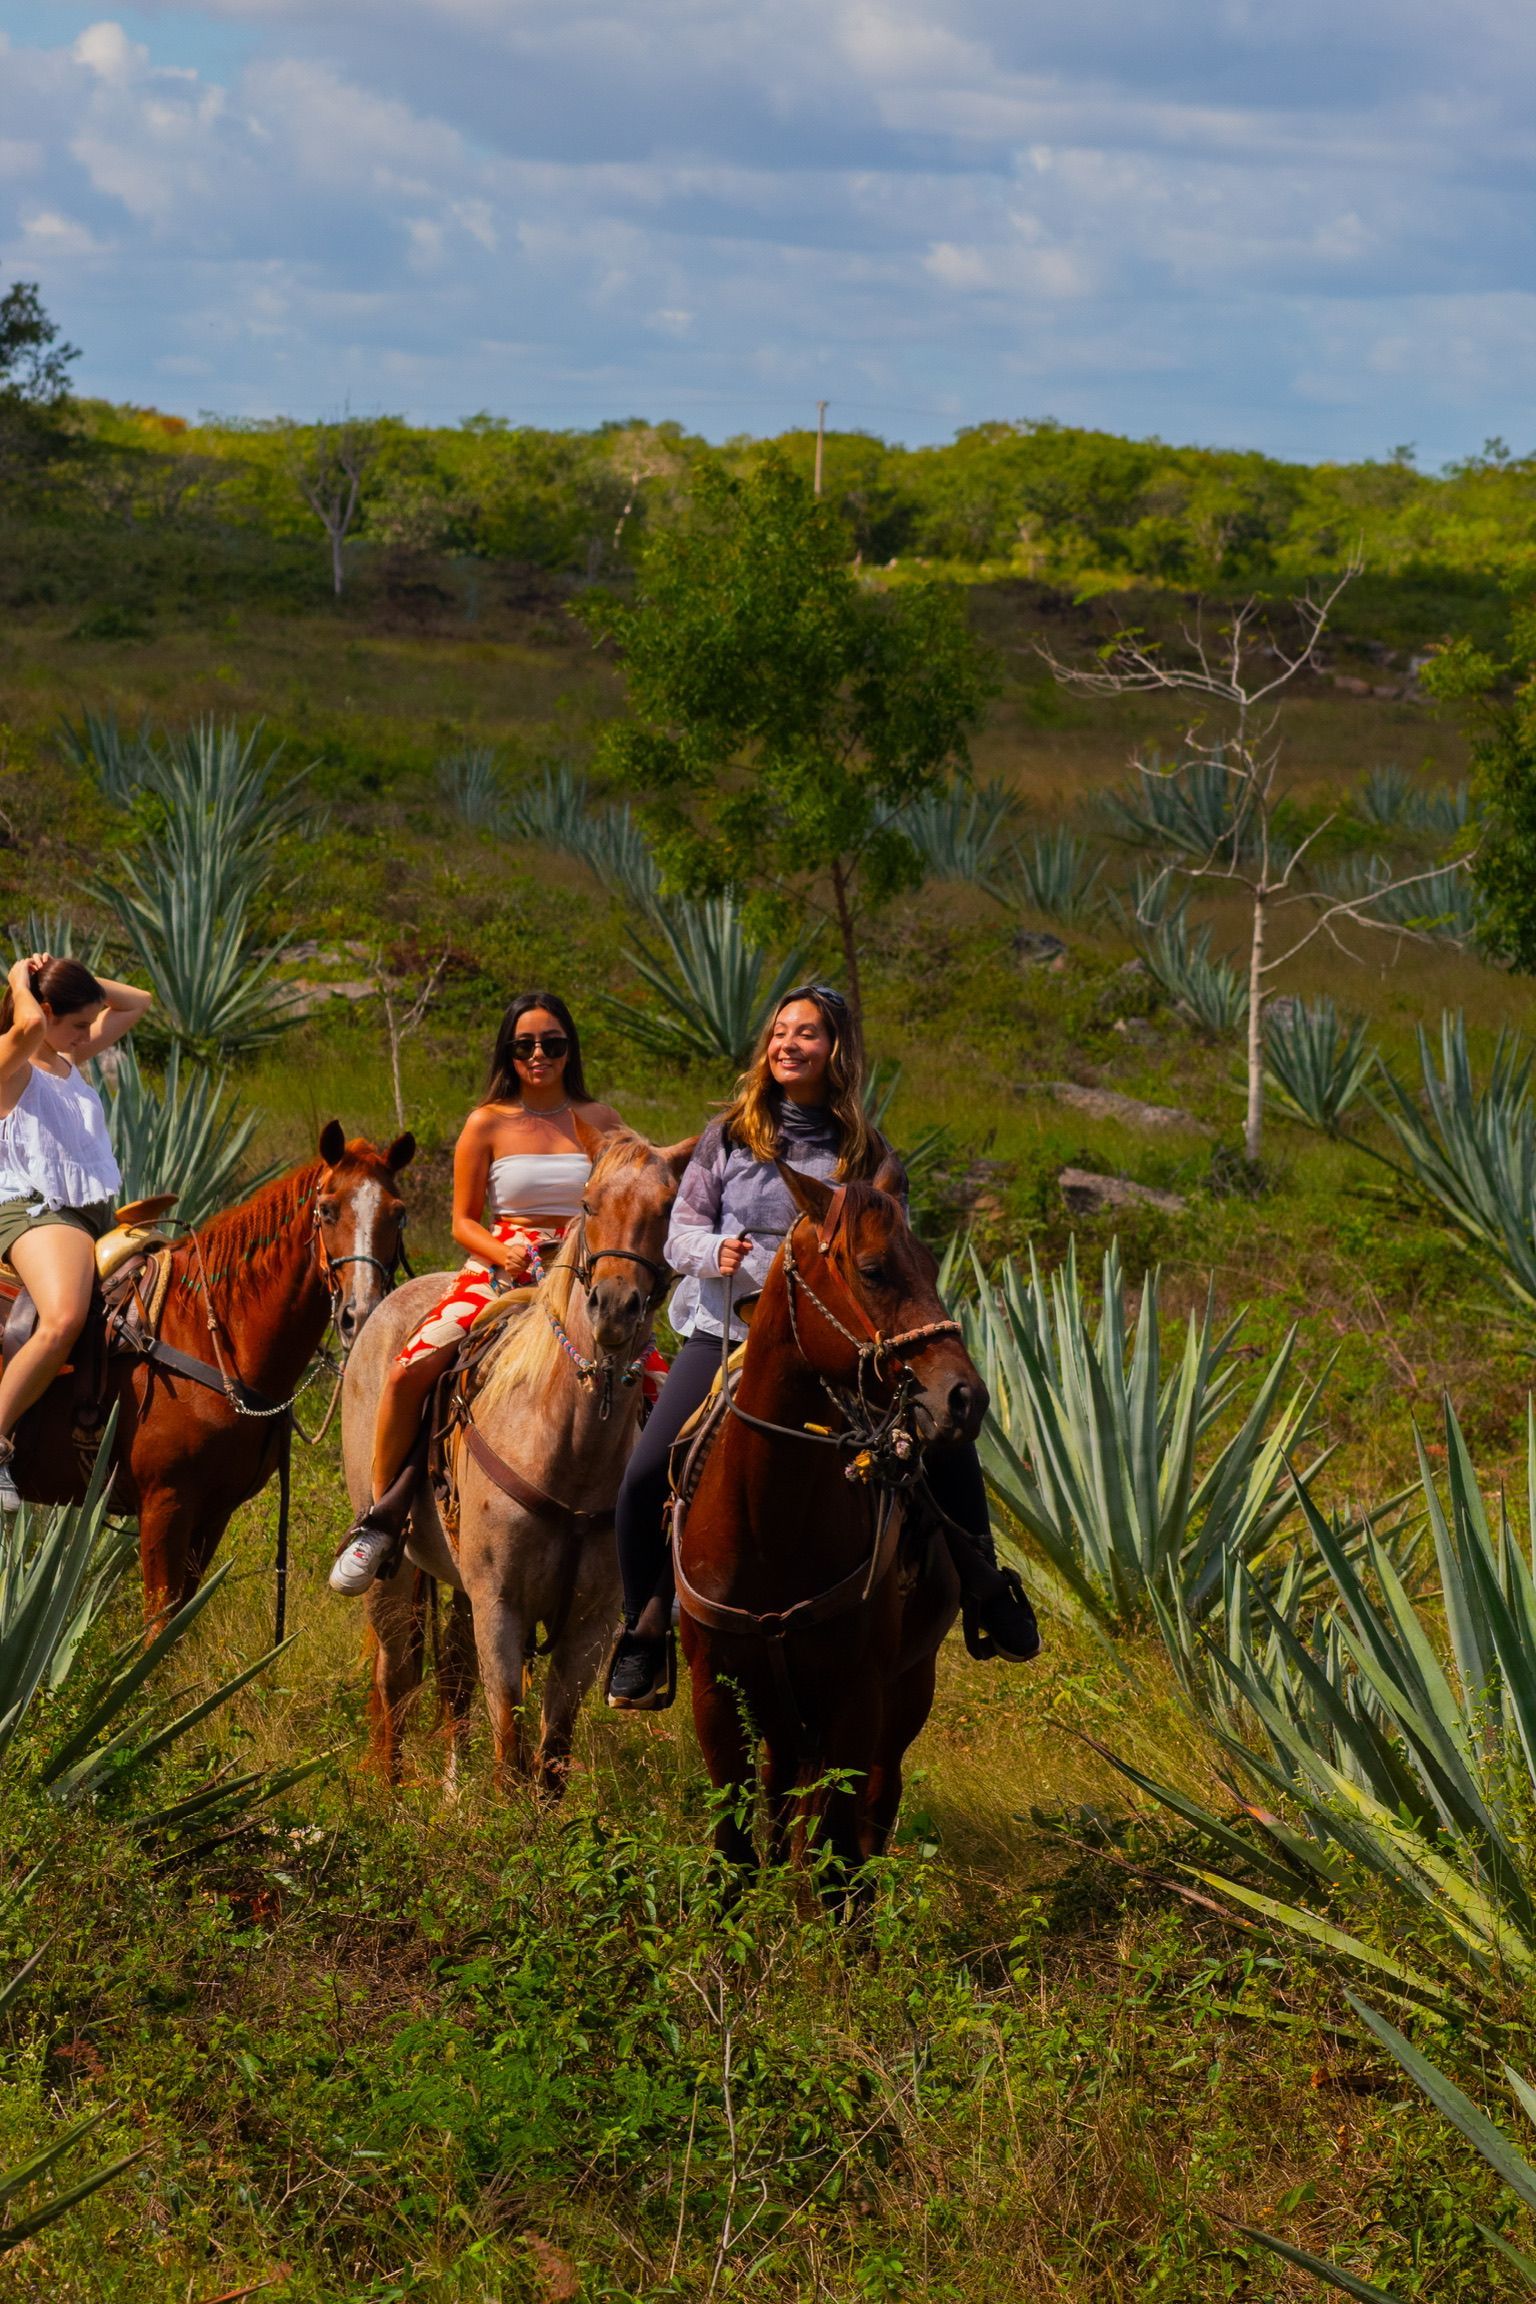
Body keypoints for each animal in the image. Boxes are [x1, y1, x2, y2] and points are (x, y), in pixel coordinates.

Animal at [672, 1161, 985, 1880]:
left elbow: (840, 1856)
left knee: (875, 1806)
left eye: (932, 1263)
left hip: (906, 1692)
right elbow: (735, 1852)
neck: (768, 1524)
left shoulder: (857, 1697)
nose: (965, 1398)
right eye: (872, 1270)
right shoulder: (716, 1693)